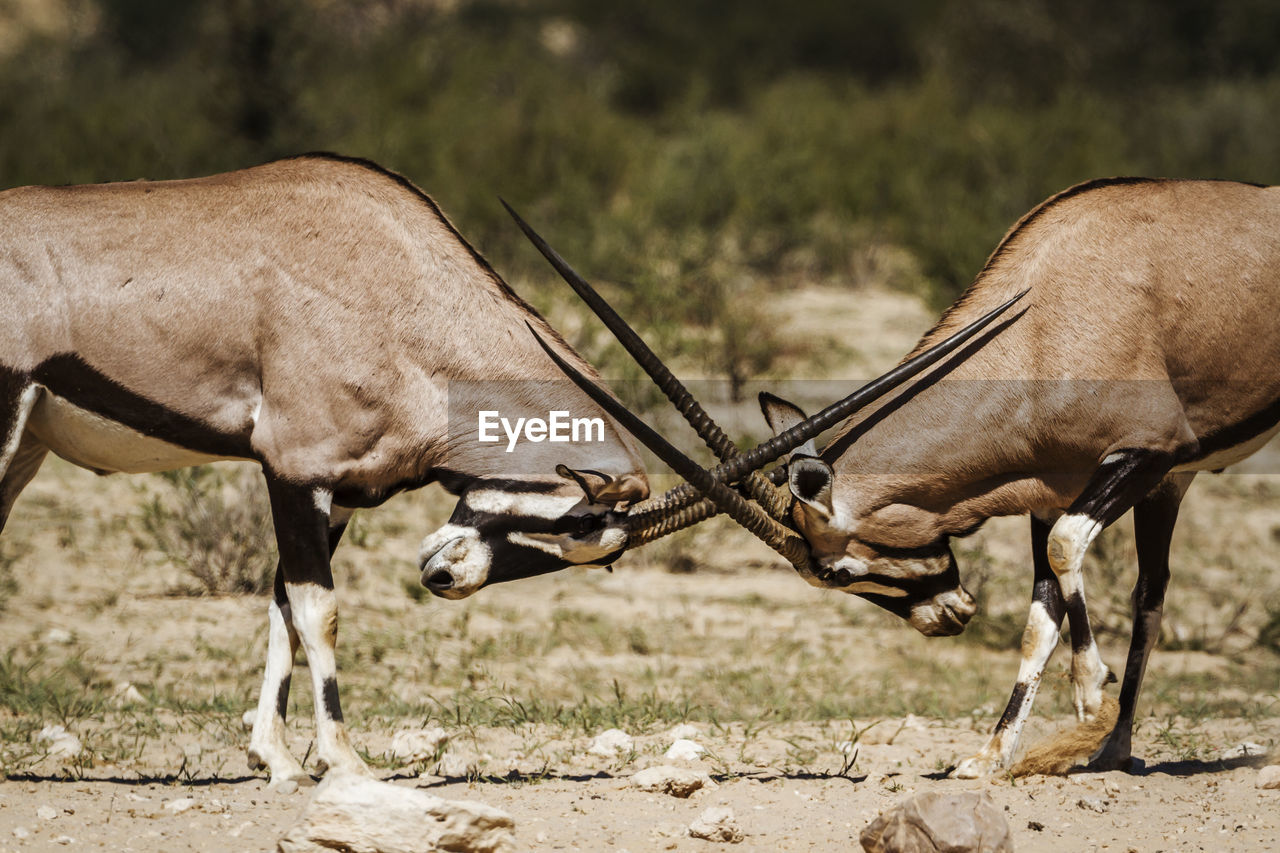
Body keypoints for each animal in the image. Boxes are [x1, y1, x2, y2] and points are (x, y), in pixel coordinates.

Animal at [514, 179, 1280, 778]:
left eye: (839, 573)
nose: (951, 616)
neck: (1043, 317)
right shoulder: (1059, 486)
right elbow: (1042, 611)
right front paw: (991, 756)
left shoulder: (1144, 453)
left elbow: (1065, 552)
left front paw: (1090, 693)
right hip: (1168, 486)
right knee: (1152, 593)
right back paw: (1116, 747)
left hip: (1163, 472)